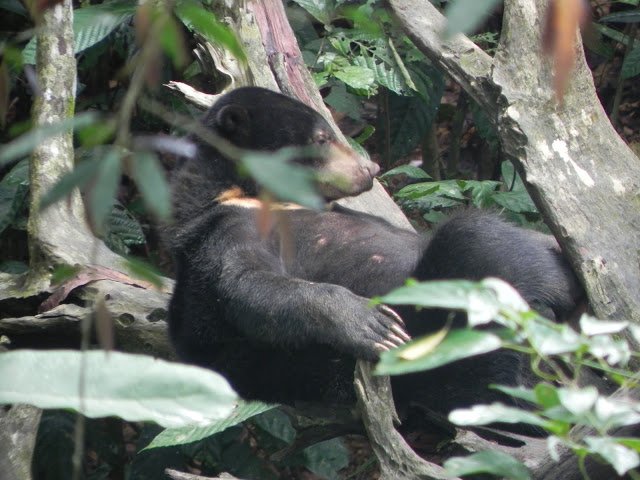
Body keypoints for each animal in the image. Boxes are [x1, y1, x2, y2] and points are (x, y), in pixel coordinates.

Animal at [164, 89, 580, 416]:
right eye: (321, 138)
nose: (371, 167)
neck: (245, 192)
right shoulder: (227, 229)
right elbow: (245, 284)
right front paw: (372, 325)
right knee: (480, 241)